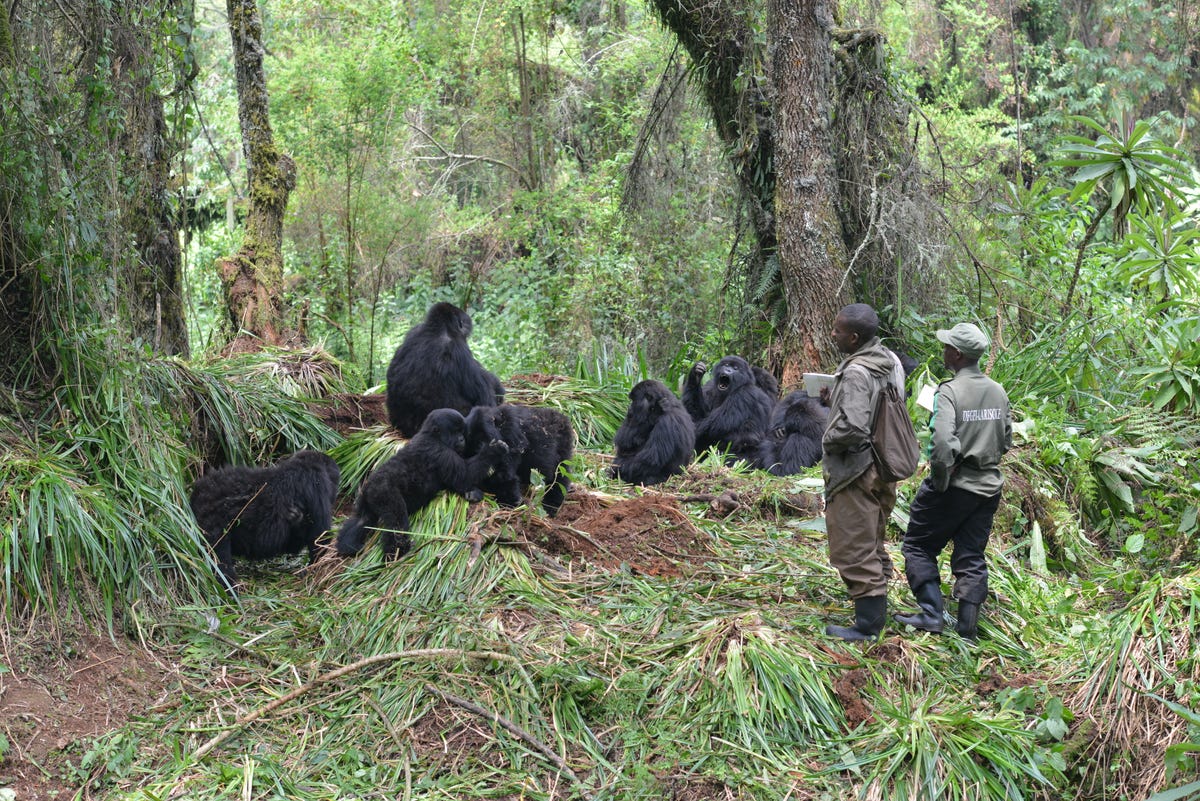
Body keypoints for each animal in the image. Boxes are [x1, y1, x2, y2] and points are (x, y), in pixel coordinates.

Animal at [336, 410, 508, 561]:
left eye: (462, 431)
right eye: (455, 432)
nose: (462, 440)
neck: (431, 434)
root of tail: (369, 487)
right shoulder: (441, 452)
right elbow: (465, 475)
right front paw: (494, 450)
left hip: (367, 497)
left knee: (362, 518)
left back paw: (348, 545)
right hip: (384, 492)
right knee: (396, 522)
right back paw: (396, 552)